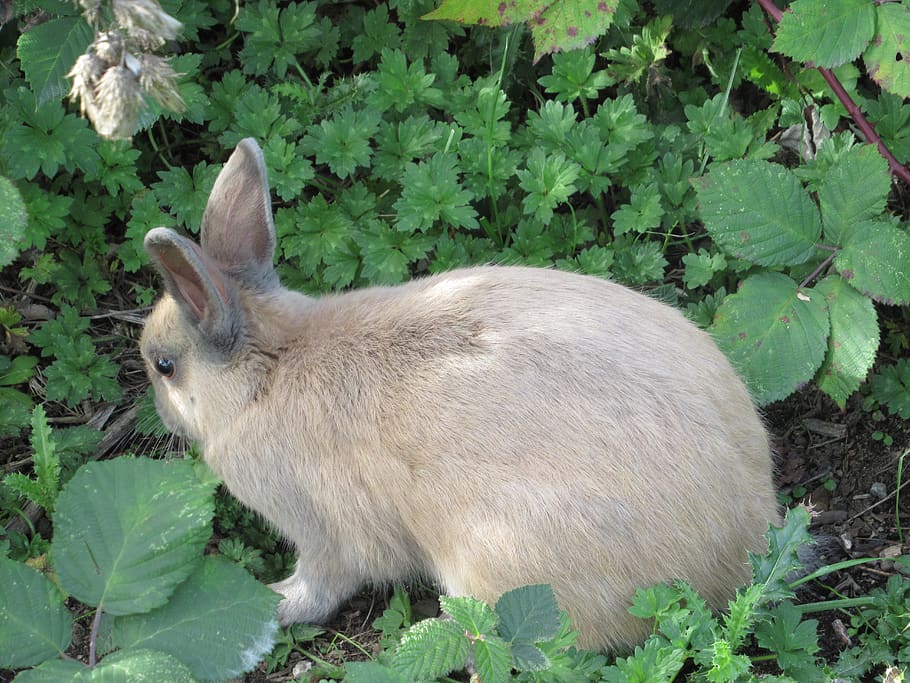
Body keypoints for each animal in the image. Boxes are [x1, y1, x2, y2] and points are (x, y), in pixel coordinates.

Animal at [139, 137, 780, 652]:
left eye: (164, 366)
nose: (160, 417)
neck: (268, 369)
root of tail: (742, 548)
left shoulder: (323, 534)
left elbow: (320, 585)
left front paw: (276, 603)